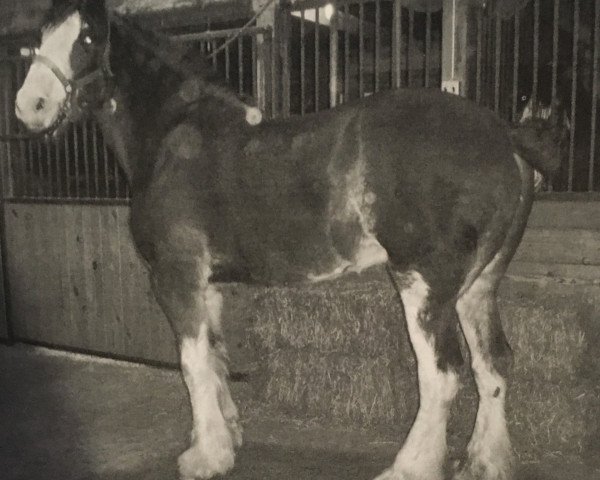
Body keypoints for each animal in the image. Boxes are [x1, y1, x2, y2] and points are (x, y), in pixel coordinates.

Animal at [15, 0, 564, 480]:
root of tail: (503, 133)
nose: (29, 106)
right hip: (479, 285)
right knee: (493, 364)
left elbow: (192, 364)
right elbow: (215, 357)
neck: (173, 137)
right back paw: (486, 462)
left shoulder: (176, 277)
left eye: (87, 37)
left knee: (443, 374)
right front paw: (225, 438)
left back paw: (409, 467)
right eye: (39, 38)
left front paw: (205, 458)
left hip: (424, 285)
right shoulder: (208, 284)